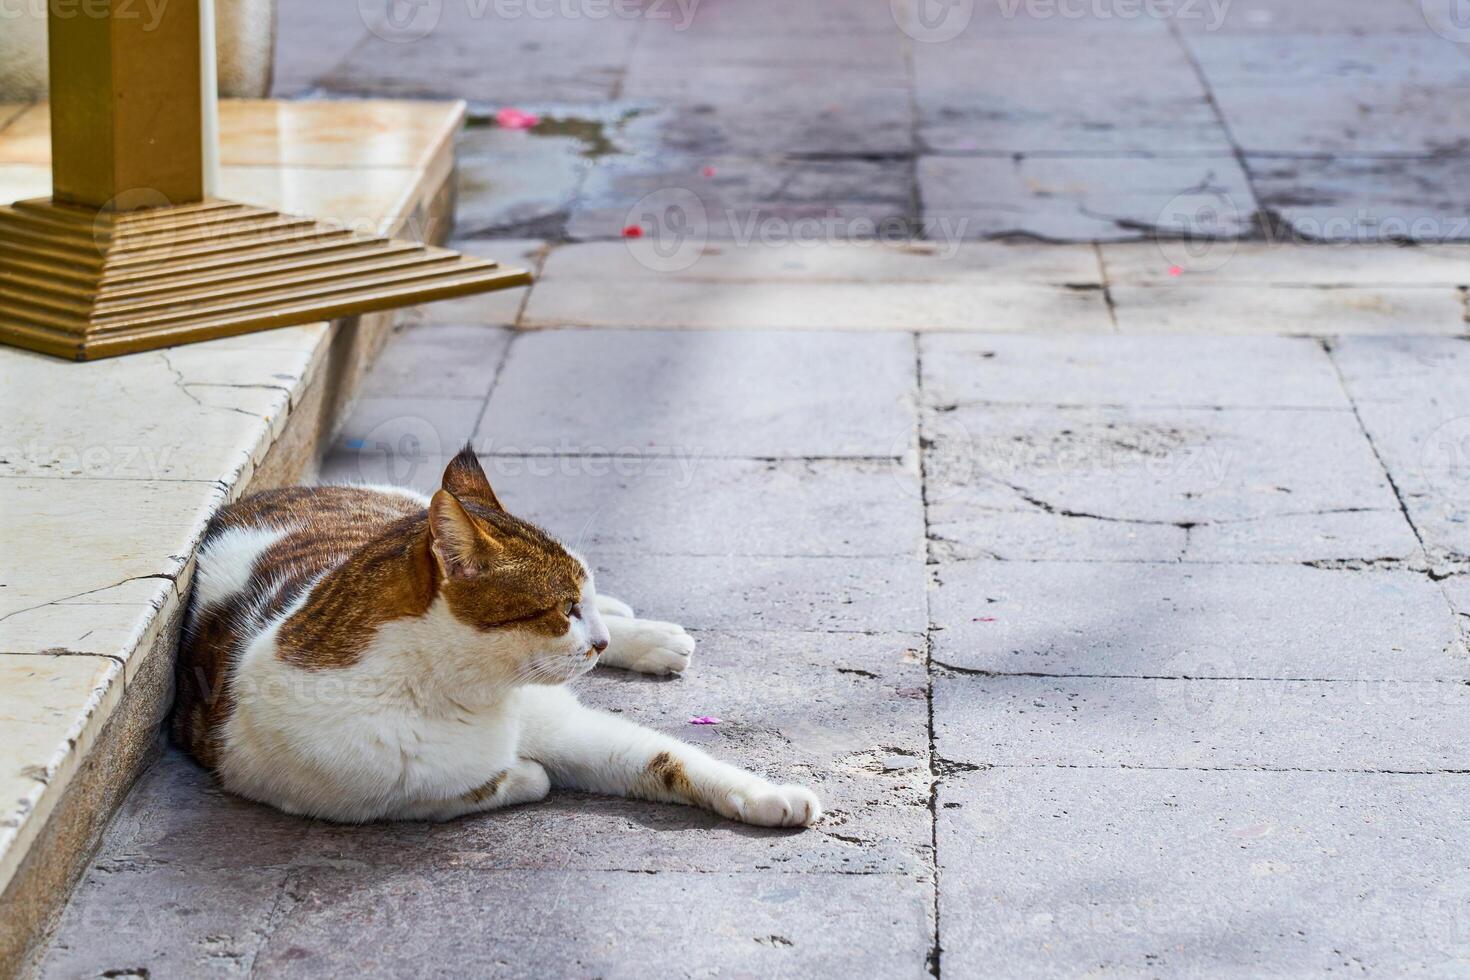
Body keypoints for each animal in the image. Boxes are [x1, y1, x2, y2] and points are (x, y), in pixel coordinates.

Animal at [169, 443, 829, 828]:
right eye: (563, 610)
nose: (597, 643)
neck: (452, 695)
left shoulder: (562, 720)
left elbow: (667, 758)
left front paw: (769, 796)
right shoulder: (335, 793)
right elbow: (473, 788)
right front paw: (525, 776)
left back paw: (646, 631)